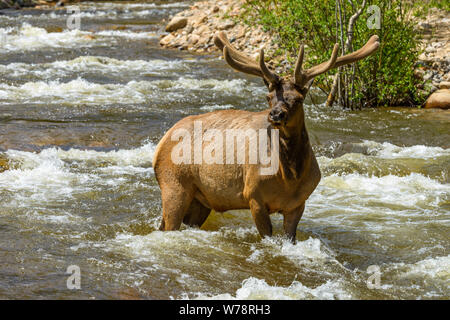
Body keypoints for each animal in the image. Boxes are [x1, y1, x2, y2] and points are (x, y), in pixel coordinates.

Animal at [153, 31, 378, 241]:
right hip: (174, 185)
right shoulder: (254, 196)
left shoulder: (298, 204)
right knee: (167, 224)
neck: (289, 178)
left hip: (200, 200)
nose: (276, 114)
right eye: (269, 97)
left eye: (298, 99)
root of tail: (161, 143)